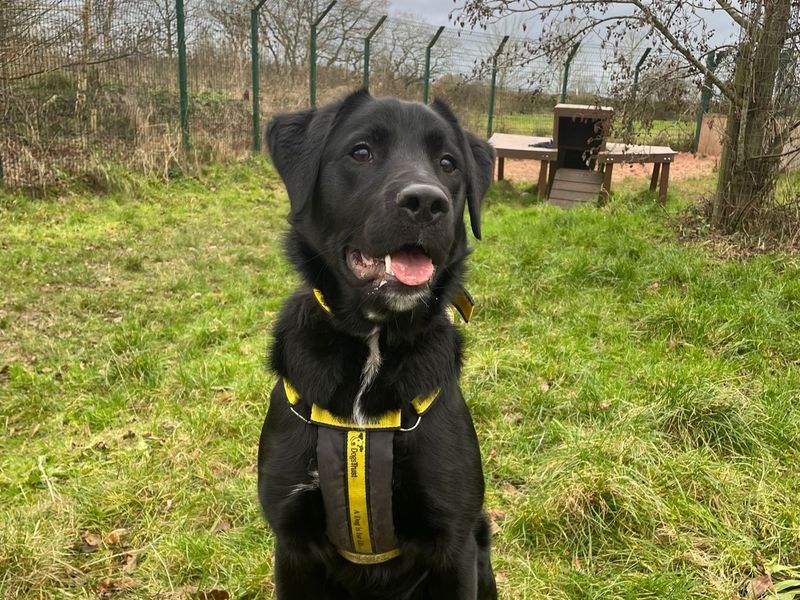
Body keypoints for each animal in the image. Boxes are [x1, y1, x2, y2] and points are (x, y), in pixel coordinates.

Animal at [260, 90, 496, 600]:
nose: (427, 202)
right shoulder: (292, 545)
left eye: (448, 164)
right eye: (362, 152)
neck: (374, 343)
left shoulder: (456, 545)